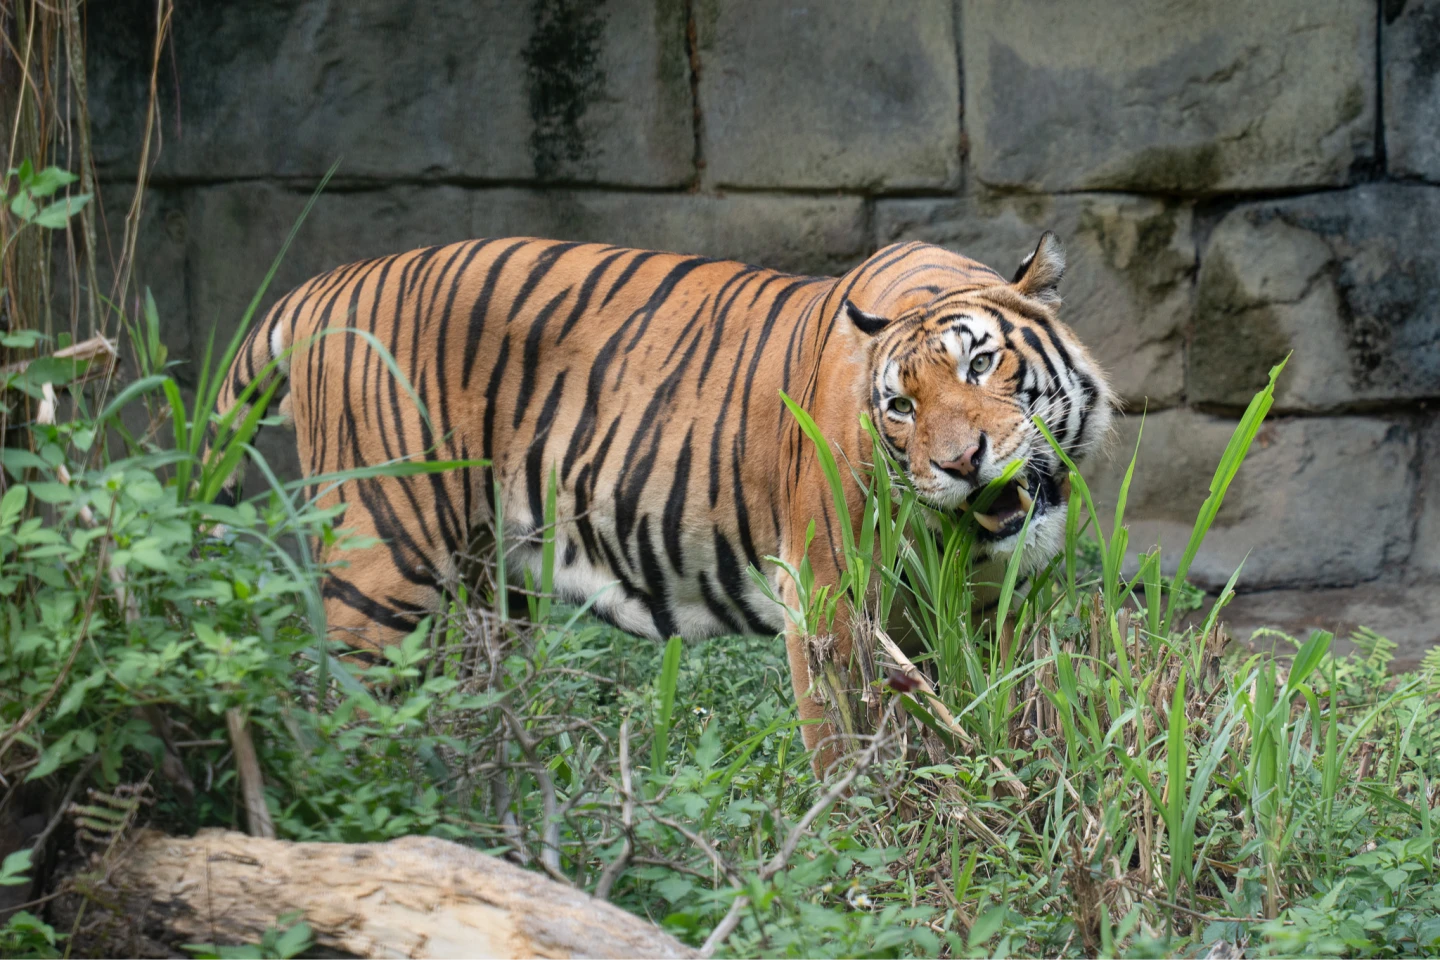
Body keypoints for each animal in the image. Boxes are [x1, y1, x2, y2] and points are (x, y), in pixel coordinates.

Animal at [213, 232, 1113, 768]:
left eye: (981, 364)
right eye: (901, 405)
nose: (962, 463)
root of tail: (326, 286)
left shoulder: (1002, 605)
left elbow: (1006, 706)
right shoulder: (826, 597)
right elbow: (847, 744)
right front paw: (863, 835)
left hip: (484, 595)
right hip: (383, 565)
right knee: (343, 710)